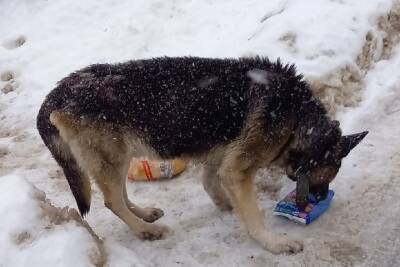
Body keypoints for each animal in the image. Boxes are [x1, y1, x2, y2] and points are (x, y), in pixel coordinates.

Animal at [36, 57, 366, 255]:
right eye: (328, 173)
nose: (319, 199)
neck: (298, 116)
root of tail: (55, 94)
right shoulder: (237, 169)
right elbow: (253, 216)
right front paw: (272, 242)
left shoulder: (221, 158)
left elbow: (210, 182)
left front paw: (226, 205)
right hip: (113, 158)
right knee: (111, 201)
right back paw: (145, 230)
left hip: (119, 157)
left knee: (118, 195)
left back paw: (143, 214)